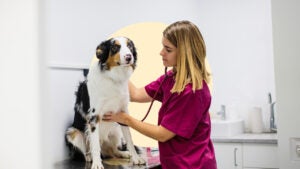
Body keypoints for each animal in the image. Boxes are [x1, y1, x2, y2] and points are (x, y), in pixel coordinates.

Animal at [65, 37, 146, 169]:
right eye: (115, 47)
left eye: (130, 46)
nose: (129, 57)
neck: (113, 78)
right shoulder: (94, 117)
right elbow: (95, 146)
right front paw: (97, 164)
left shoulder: (123, 114)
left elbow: (129, 139)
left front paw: (136, 158)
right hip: (72, 133)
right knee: (89, 150)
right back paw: (90, 157)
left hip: (115, 132)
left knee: (113, 151)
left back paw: (123, 153)